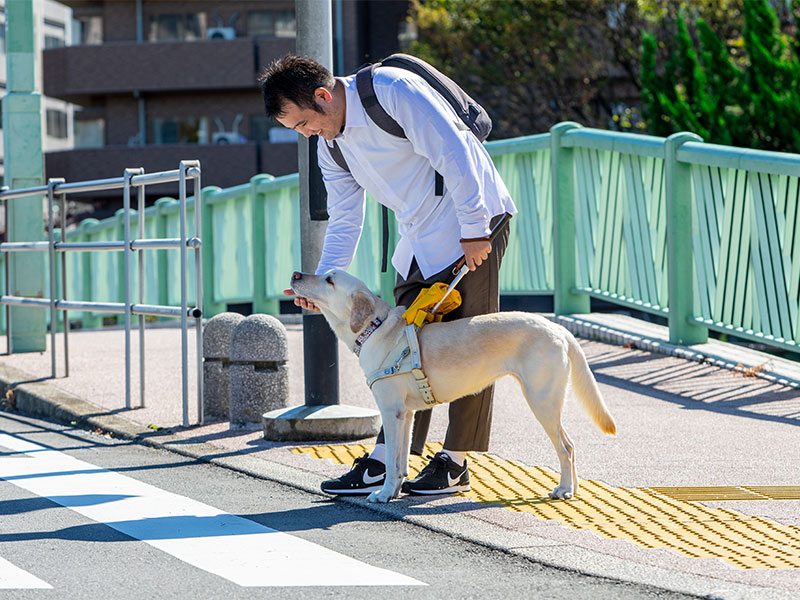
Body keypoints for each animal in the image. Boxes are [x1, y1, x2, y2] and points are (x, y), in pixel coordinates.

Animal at [290, 270, 616, 504]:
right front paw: (392, 491)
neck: (377, 328)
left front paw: (382, 494)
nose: (295, 274)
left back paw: (563, 489)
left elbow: (393, 462)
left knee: (566, 447)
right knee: (570, 446)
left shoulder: (391, 411)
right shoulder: (405, 415)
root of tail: (558, 329)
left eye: (330, 279)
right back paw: (573, 488)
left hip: (541, 400)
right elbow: (399, 460)